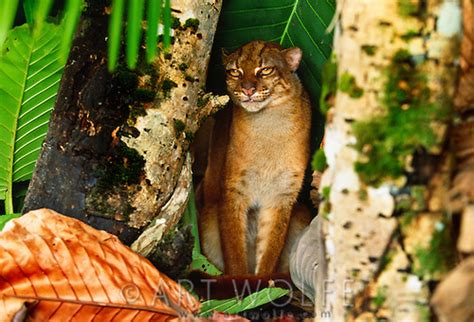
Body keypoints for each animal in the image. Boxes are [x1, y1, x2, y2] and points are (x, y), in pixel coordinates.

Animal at [196, 40, 312, 276]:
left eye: (265, 70)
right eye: (235, 71)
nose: (247, 89)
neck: (269, 126)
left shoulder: (282, 193)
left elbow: (270, 248)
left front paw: (262, 281)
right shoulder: (234, 189)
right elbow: (234, 249)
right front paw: (241, 280)